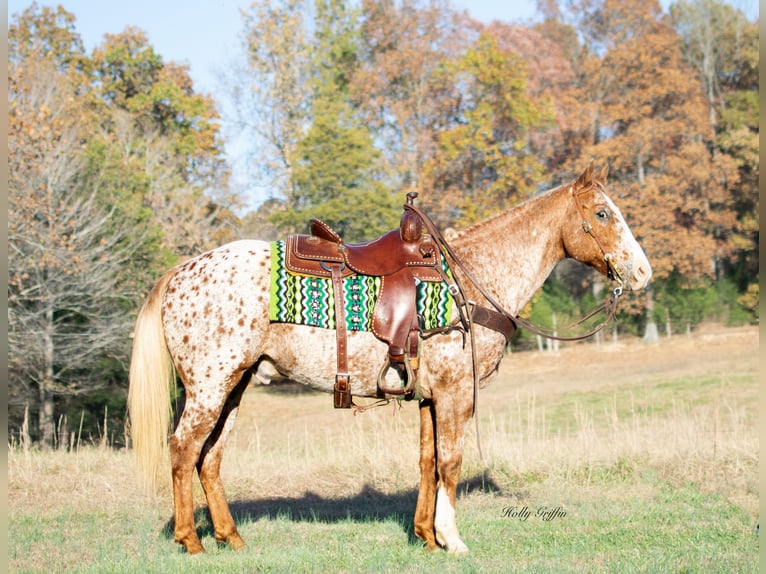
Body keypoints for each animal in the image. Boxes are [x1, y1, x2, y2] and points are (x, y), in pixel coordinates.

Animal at [127, 164, 656, 556]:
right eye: (603, 213)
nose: (642, 273)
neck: (472, 280)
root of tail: (180, 271)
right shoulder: (455, 395)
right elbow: (451, 462)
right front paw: (453, 539)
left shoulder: (428, 397)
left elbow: (427, 461)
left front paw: (426, 536)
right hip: (209, 388)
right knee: (183, 450)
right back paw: (191, 541)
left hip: (234, 387)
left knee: (210, 458)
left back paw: (231, 538)